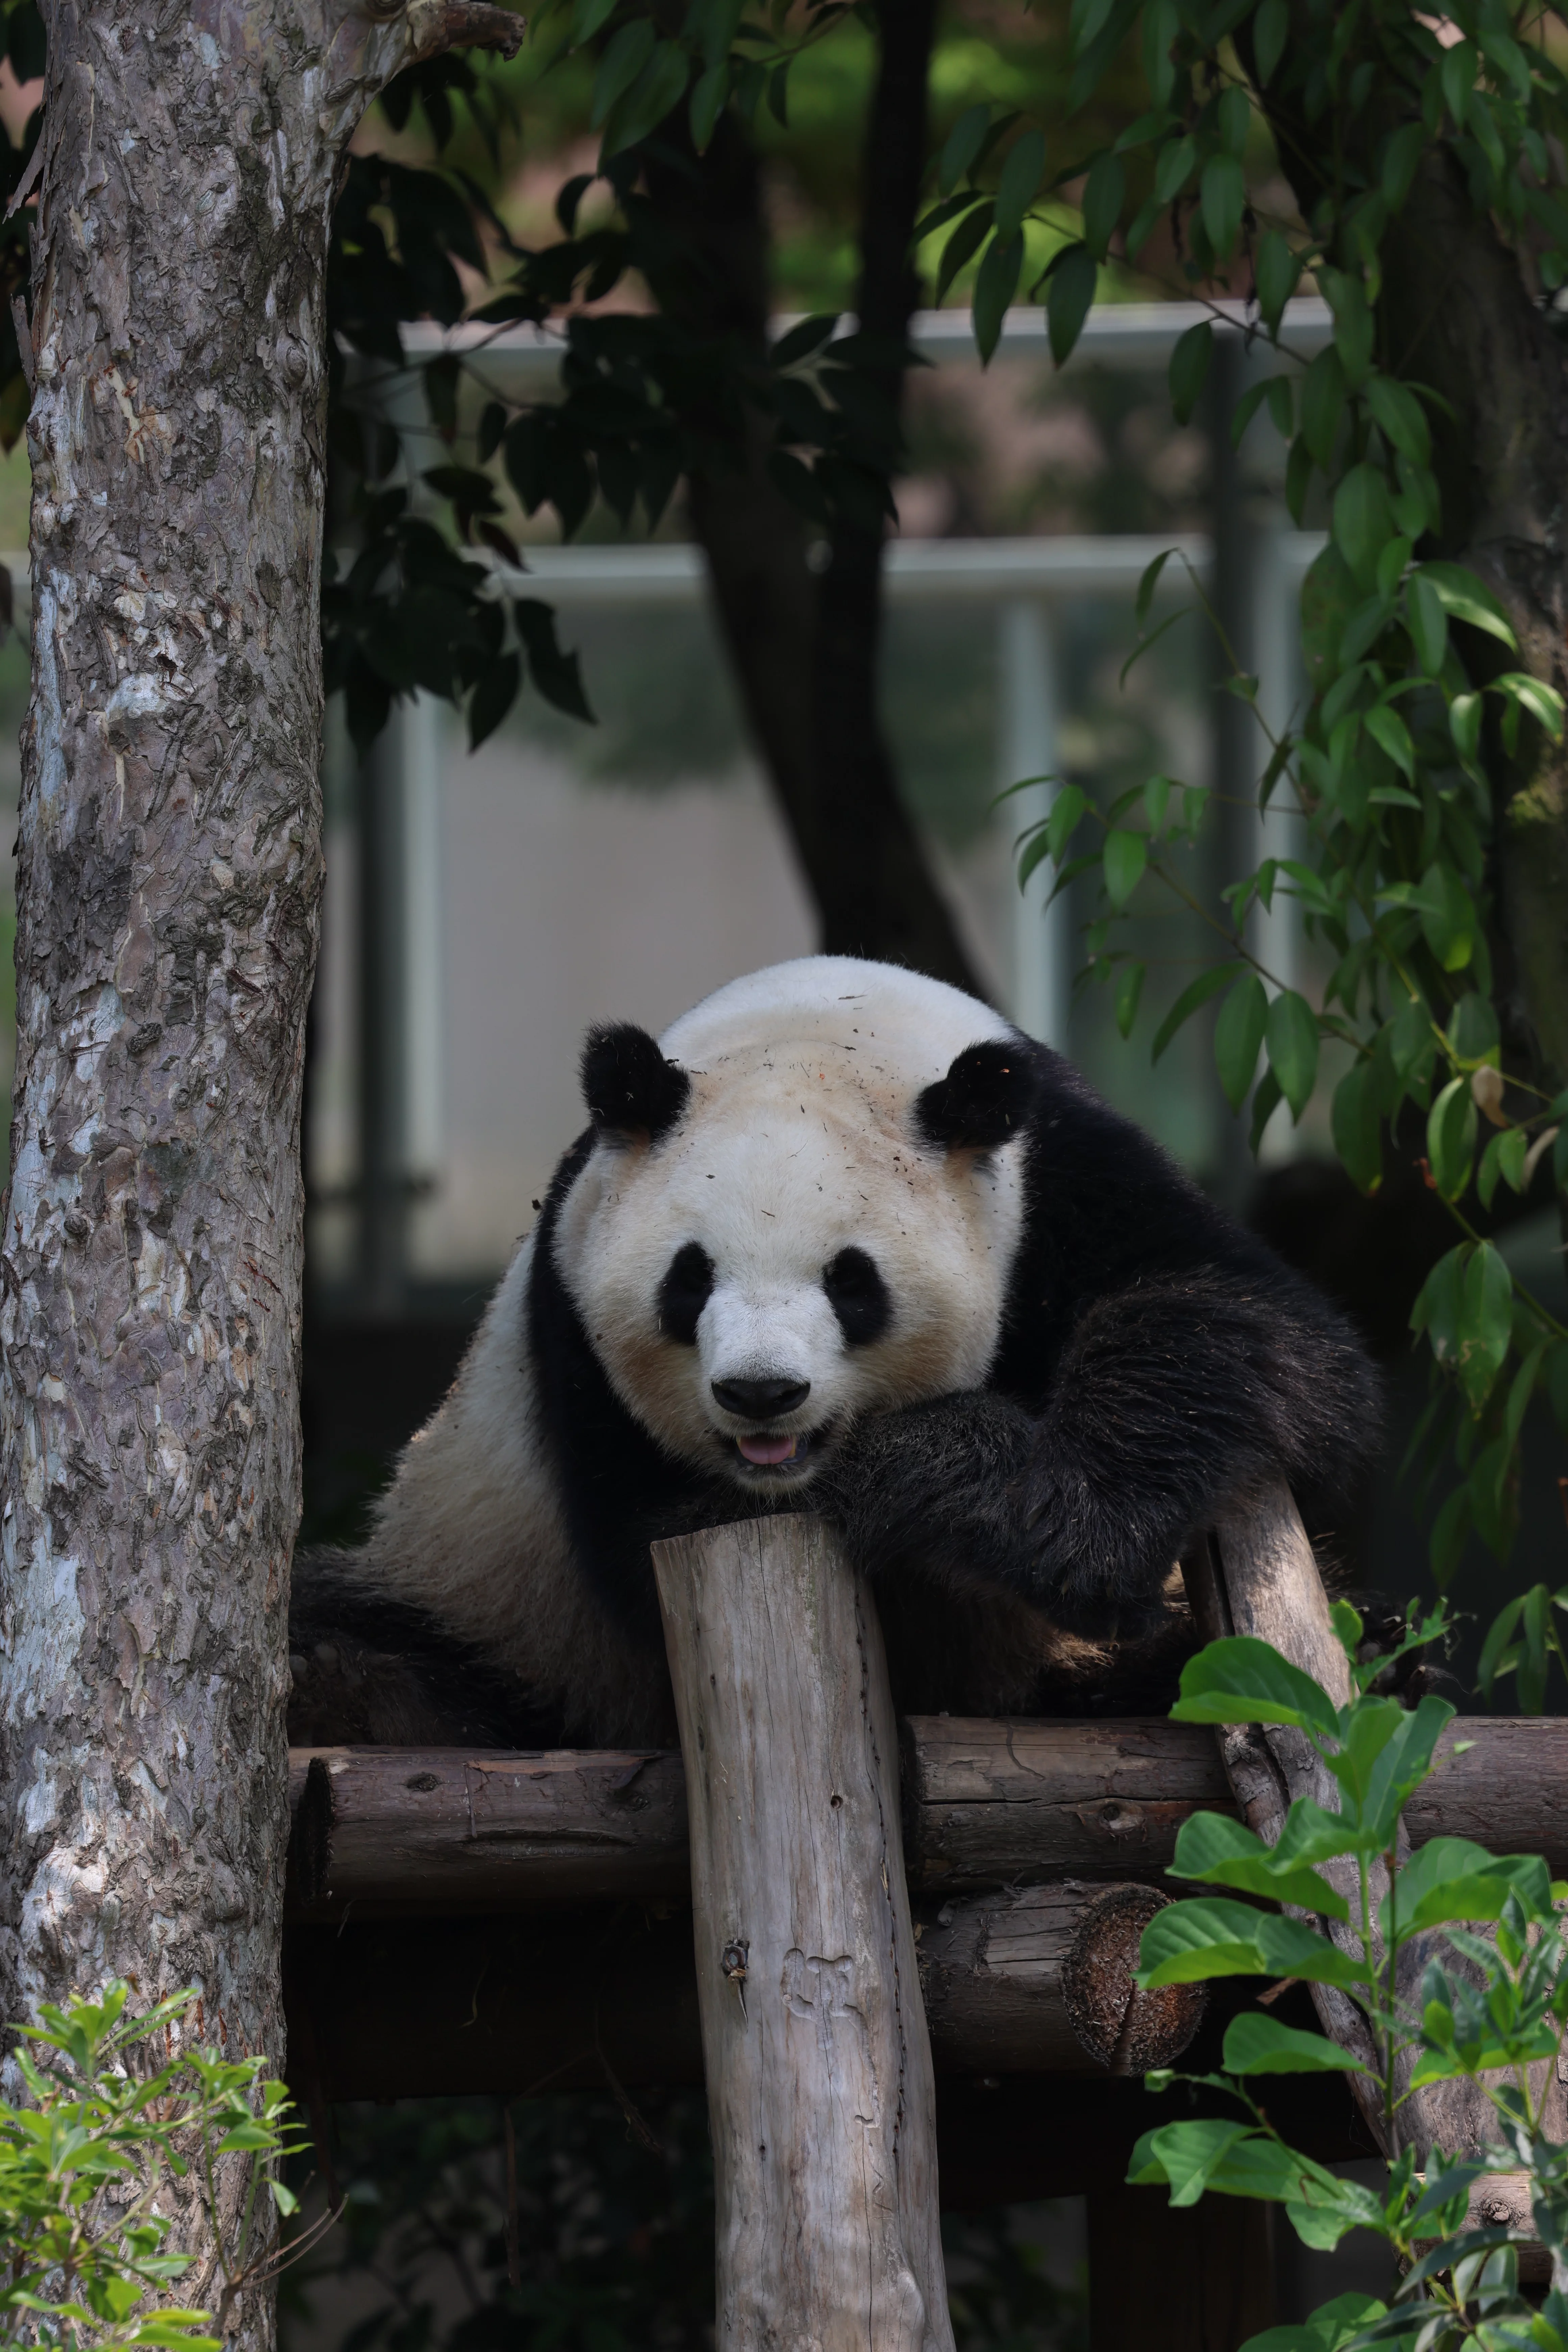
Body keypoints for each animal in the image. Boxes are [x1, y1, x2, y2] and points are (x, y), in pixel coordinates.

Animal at [288, 954, 1378, 1749]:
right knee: (362, 1633)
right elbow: (652, 1537)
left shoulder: (1062, 1174)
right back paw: (347, 1690)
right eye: (690, 1280)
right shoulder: (569, 1331)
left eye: (851, 1282)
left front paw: (1010, 1506)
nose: (761, 1393)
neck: (817, 1027)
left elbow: (1225, 1320)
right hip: (493, 1603)